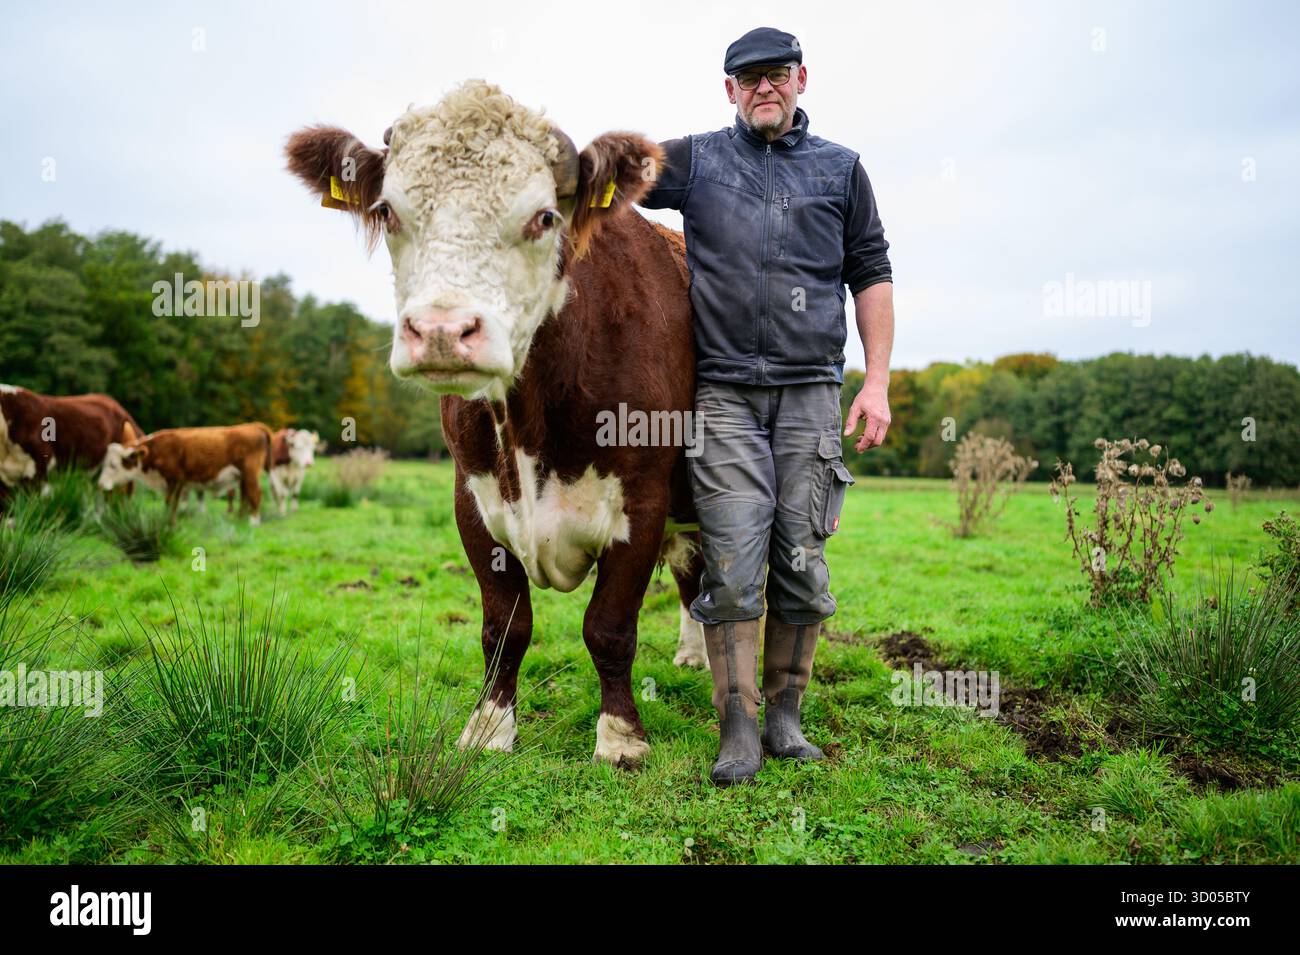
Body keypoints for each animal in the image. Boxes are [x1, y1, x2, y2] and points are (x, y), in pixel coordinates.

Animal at [98, 423, 274, 525]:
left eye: (113, 465)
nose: (100, 484)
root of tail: (253, 426)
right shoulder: (179, 483)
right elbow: (174, 503)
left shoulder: (174, 480)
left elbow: (170, 502)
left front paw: (169, 523)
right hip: (243, 475)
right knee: (245, 494)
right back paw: (240, 519)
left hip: (250, 472)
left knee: (255, 492)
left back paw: (253, 521)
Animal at [286, 80, 709, 767]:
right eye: (388, 211)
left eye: (544, 217)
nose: (441, 330)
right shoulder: (473, 498)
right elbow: (504, 626)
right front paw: (489, 728)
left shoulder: (642, 500)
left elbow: (609, 626)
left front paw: (621, 737)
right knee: (693, 579)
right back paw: (696, 655)